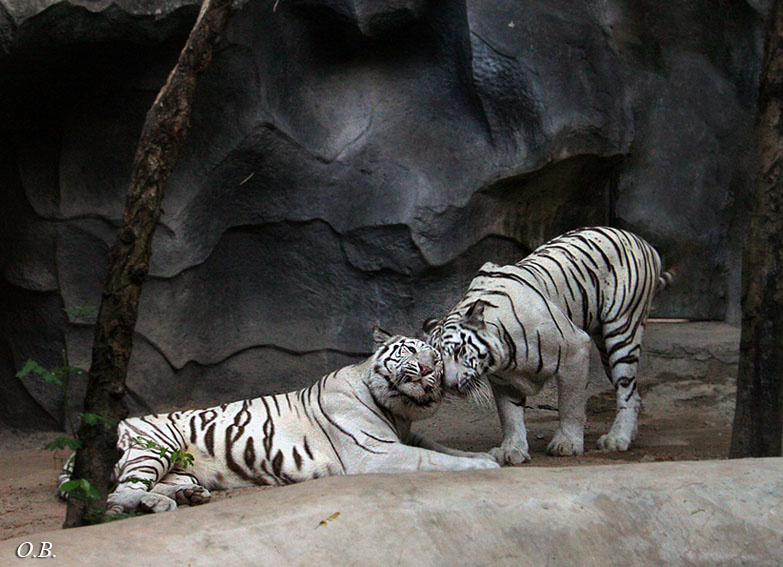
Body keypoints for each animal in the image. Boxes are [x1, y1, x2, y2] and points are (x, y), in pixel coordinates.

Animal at [57, 328, 498, 513]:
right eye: (409, 351)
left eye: (436, 358)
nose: (426, 370)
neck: (396, 409)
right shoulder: (378, 454)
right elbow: (438, 460)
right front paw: (484, 464)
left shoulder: (406, 438)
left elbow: (442, 448)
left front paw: (492, 454)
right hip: (155, 446)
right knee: (120, 493)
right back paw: (146, 505)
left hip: (181, 466)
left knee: (152, 487)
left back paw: (180, 499)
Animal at [423, 226, 672, 465]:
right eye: (438, 361)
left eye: (459, 351)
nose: (450, 385)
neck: (503, 355)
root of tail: (644, 242)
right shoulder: (503, 380)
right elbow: (510, 416)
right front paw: (512, 449)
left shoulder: (575, 349)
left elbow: (571, 404)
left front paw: (567, 444)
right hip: (605, 348)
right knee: (635, 395)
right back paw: (629, 434)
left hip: (622, 333)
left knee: (626, 390)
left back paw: (617, 438)